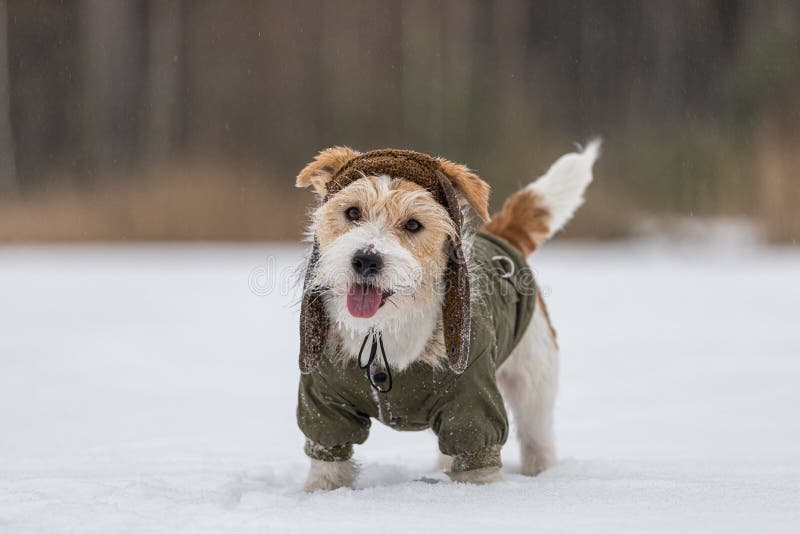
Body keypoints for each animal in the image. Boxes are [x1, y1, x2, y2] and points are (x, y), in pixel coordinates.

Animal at [296, 143, 600, 494]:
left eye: (413, 225)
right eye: (352, 212)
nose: (365, 259)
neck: (384, 330)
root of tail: (498, 238)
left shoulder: (473, 405)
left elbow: (478, 459)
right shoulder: (324, 404)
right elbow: (328, 460)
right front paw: (320, 493)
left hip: (534, 381)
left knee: (536, 437)